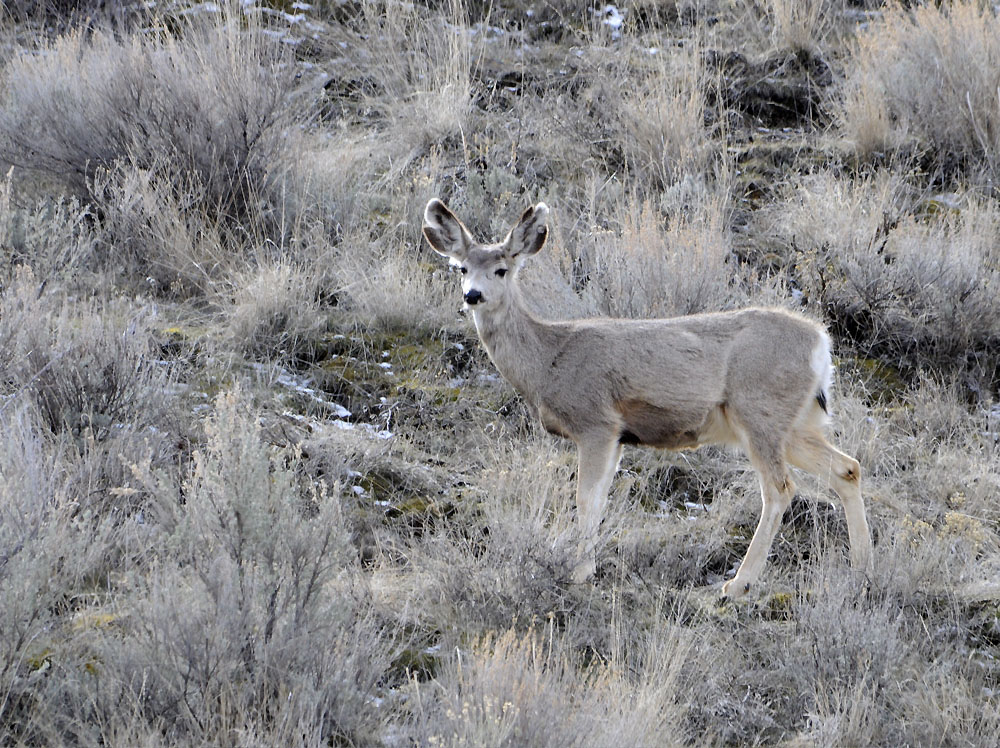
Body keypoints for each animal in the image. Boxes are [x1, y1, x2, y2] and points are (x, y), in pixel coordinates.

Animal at [424, 197, 876, 596]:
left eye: (501, 270)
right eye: (462, 268)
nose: (472, 295)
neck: (548, 359)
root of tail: (821, 342)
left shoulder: (596, 423)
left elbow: (586, 498)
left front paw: (578, 573)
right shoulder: (619, 437)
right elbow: (599, 500)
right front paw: (580, 563)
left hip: (760, 412)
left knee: (780, 489)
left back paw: (738, 584)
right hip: (793, 424)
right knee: (847, 468)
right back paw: (861, 569)